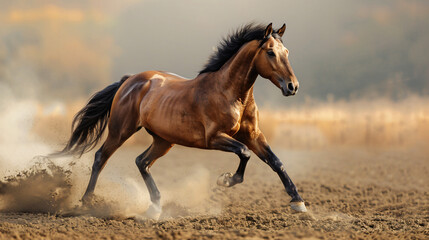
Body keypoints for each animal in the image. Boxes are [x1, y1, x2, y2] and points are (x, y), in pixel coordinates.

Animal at [55, 23, 306, 218]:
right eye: (271, 52)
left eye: (287, 51)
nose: (292, 87)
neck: (231, 93)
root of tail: (130, 80)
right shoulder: (214, 138)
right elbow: (244, 153)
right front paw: (225, 180)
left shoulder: (253, 135)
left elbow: (276, 162)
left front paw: (298, 202)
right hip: (121, 130)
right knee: (101, 157)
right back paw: (86, 202)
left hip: (164, 140)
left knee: (141, 161)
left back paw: (155, 207)